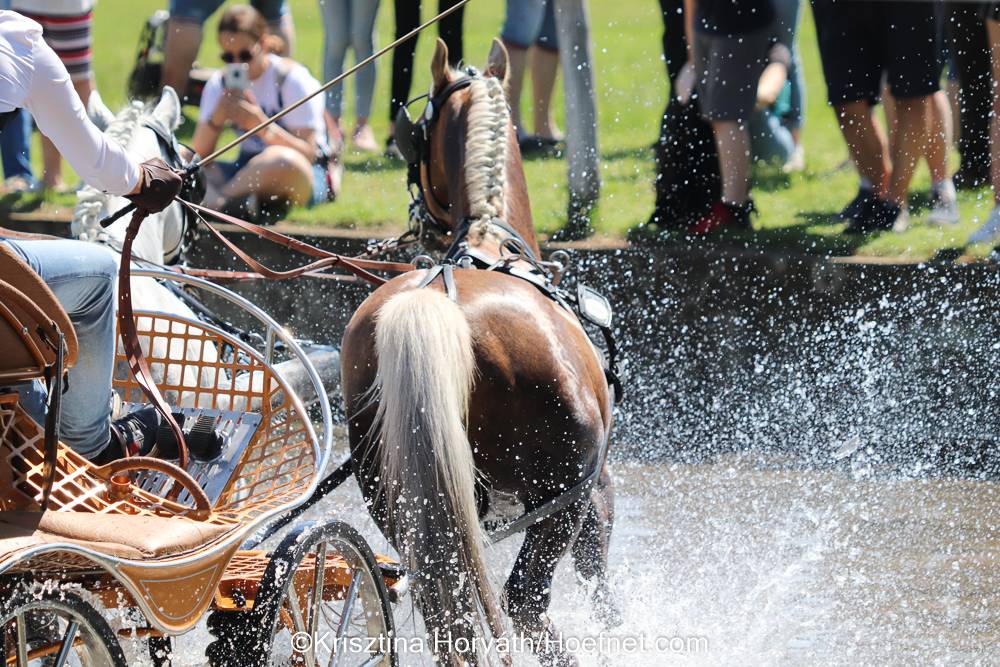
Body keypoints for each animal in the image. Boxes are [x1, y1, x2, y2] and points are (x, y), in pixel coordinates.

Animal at [341, 40, 618, 666]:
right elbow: (602, 585)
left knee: (450, 611)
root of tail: (436, 308)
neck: (493, 241)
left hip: (399, 501)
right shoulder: (595, 488)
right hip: (561, 496)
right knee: (525, 603)